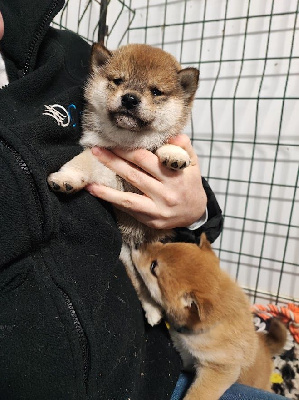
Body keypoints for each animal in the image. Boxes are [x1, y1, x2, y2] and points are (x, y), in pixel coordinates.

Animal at [48, 43, 200, 324]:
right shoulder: (103, 162)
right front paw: (66, 178)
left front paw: (174, 154)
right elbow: (81, 161)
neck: (129, 142)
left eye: (155, 91)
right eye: (118, 81)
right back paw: (153, 312)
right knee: (143, 289)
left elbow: (166, 142)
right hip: (130, 260)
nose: (130, 98)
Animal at [132, 234, 288, 400]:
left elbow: (198, 395)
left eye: (153, 266)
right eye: (165, 243)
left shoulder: (218, 369)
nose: (136, 244)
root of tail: (266, 345)